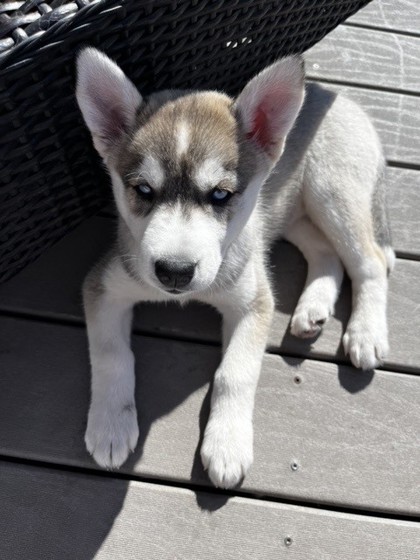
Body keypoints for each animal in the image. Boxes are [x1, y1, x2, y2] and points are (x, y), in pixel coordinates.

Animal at [75, 47, 394, 486]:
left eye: (220, 195)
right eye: (143, 190)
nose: (174, 272)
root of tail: (339, 95)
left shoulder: (253, 301)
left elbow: (235, 373)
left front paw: (227, 444)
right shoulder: (104, 286)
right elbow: (112, 355)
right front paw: (111, 425)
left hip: (332, 191)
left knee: (370, 261)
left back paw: (366, 332)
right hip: (289, 212)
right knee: (326, 253)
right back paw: (312, 309)